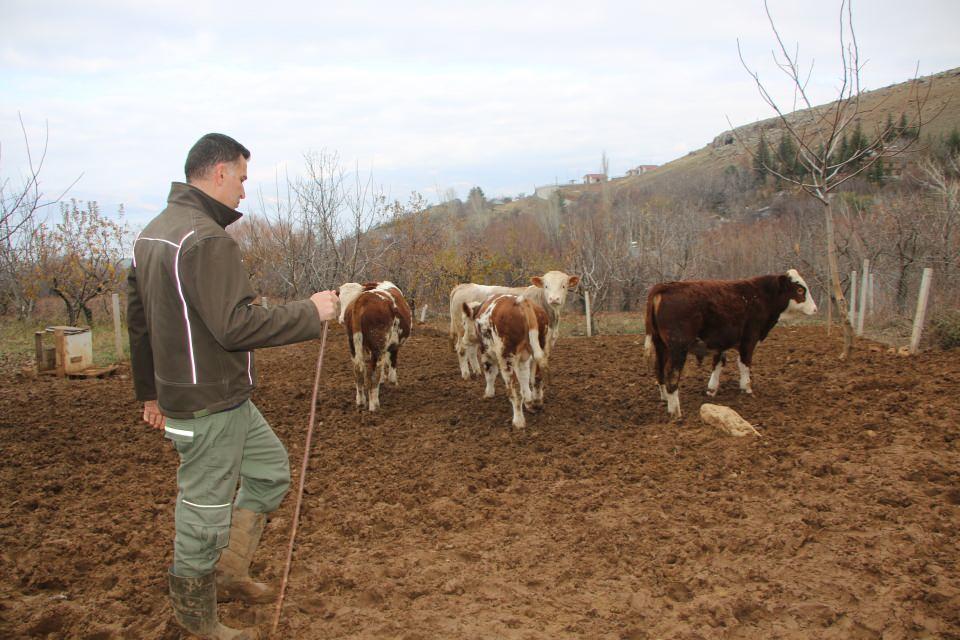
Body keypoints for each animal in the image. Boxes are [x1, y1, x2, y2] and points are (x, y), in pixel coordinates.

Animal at [340, 282, 410, 412]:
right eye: (340, 300)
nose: (341, 319)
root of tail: (362, 300)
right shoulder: (393, 345)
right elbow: (391, 366)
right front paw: (393, 383)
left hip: (353, 343)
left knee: (359, 370)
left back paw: (361, 401)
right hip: (379, 344)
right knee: (373, 373)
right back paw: (374, 405)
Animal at [448, 270, 576, 380]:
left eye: (563, 286)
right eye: (546, 286)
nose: (554, 299)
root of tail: (463, 286)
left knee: (471, 350)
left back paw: (477, 372)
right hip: (462, 329)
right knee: (461, 349)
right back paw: (466, 374)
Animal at [464, 296, 552, 430]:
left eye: (464, 323)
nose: (464, 340)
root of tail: (522, 301)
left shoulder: (486, 352)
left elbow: (490, 374)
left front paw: (488, 393)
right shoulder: (523, 359)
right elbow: (524, 378)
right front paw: (528, 401)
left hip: (506, 358)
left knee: (514, 393)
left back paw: (518, 421)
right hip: (541, 348)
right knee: (537, 379)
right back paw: (536, 404)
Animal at [644, 268, 816, 418]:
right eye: (800, 290)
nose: (815, 309)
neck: (759, 296)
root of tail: (664, 287)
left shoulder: (720, 342)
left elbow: (718, 363)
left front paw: (711, 389)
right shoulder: (749, 339)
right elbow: (744, 364)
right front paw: (747, 388)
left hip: (661, 345)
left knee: (659, 369)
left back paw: (665, 398)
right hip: (678, 348)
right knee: (672, 375)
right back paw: (675, 412)